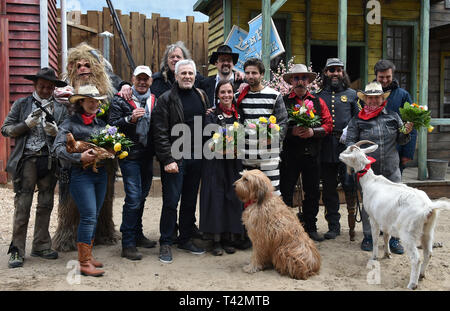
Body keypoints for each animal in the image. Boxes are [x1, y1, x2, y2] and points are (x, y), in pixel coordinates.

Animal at [340, 140, 450, 292]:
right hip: (428, 231)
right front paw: (387, 254)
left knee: (416, 258)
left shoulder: (373, 218)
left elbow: (375, 239)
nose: (340, 155)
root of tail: (428, 207)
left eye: (348, 152)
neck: (370, 181)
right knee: (429, 253)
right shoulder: (386, 220)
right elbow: (386, 236)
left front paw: (374, 257)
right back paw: (421, 275)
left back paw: (412, 284)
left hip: (408, 233)